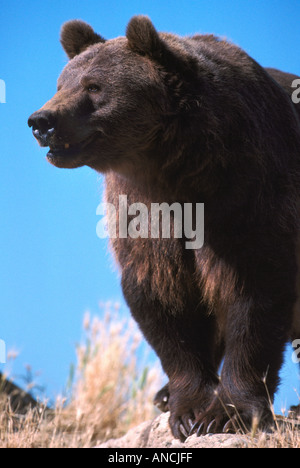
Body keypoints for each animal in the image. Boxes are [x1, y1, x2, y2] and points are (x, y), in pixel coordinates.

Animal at [28, 14, 300, 438]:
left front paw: (229, 412)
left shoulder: (247, 191)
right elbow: (160, 293)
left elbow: (254, 287)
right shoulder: (141, 212)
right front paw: (186, 406)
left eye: (94, 86)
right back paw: (162, 393)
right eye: (62, 84)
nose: (42, 121)